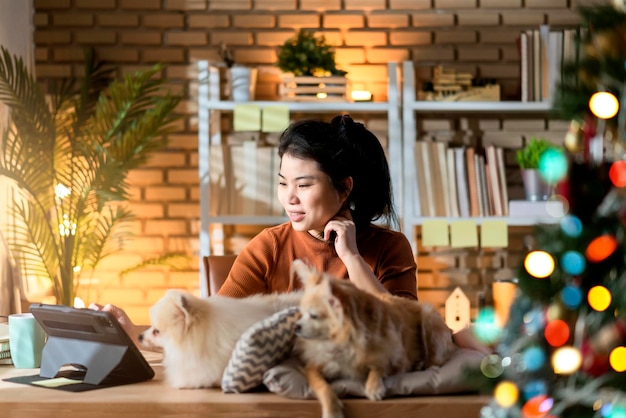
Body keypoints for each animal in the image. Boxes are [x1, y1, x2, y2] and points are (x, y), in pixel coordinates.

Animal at [290, 260, 456, 416]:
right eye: (301, 314)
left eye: (313, 316)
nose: (295, 326)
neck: (345, 342)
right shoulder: (313, 367)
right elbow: (322, 386)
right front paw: (332, 411)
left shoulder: (398, 361)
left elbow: (379, 365)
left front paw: (374, 387)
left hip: (429, 318)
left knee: (435, 359)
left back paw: (423, 364)